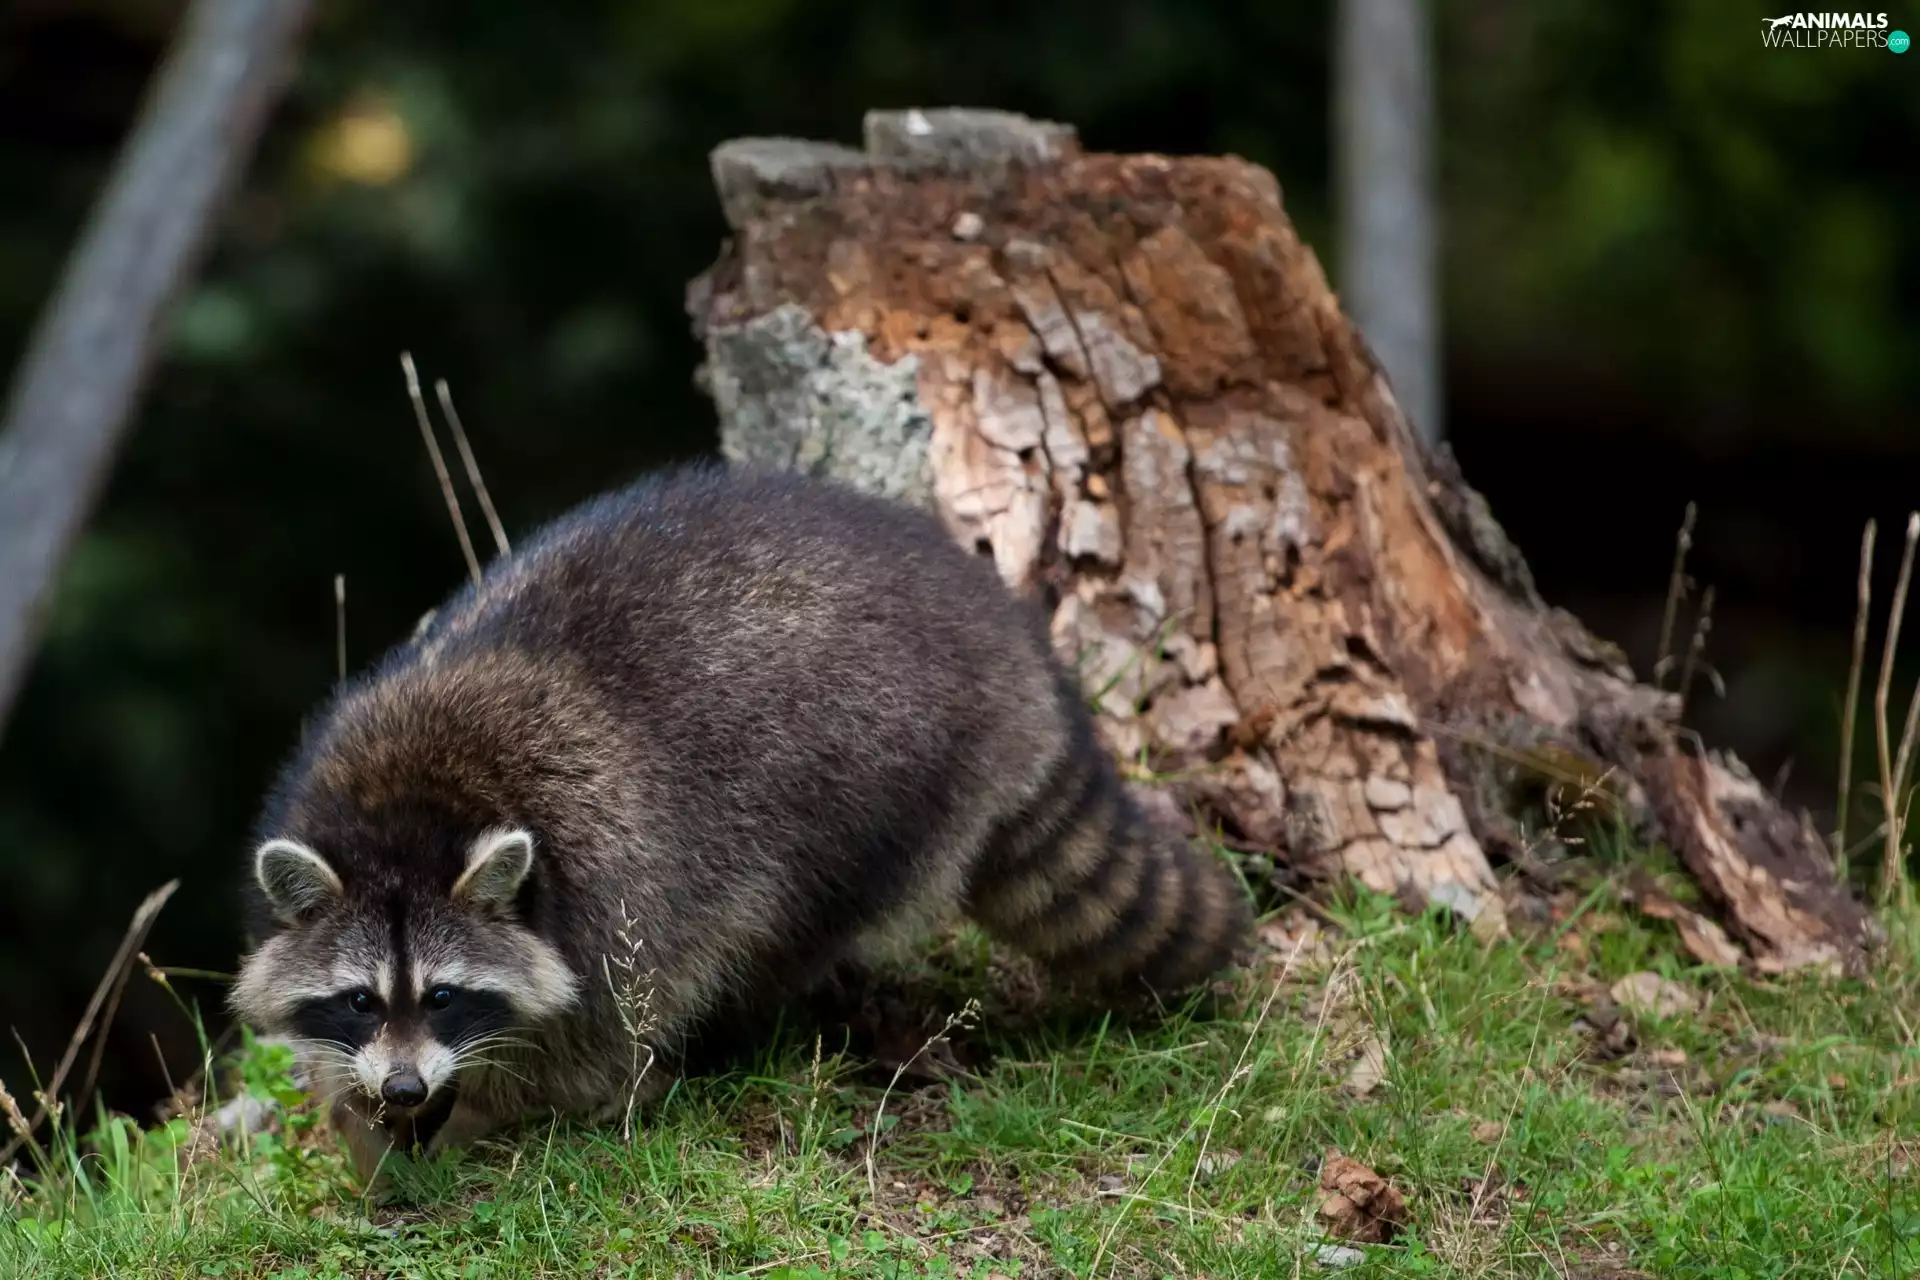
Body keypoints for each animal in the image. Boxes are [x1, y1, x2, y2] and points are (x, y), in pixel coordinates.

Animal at [230, 463, 1252, 1179]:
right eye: (361, 1001)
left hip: (880, 783)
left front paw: (477, 1122)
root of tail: (1008, 646)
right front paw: (368, 1117)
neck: (409, 811)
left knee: (773, 929)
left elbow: (588, 1051)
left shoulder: (614, 890)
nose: (406, 1084)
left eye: (444, 996)